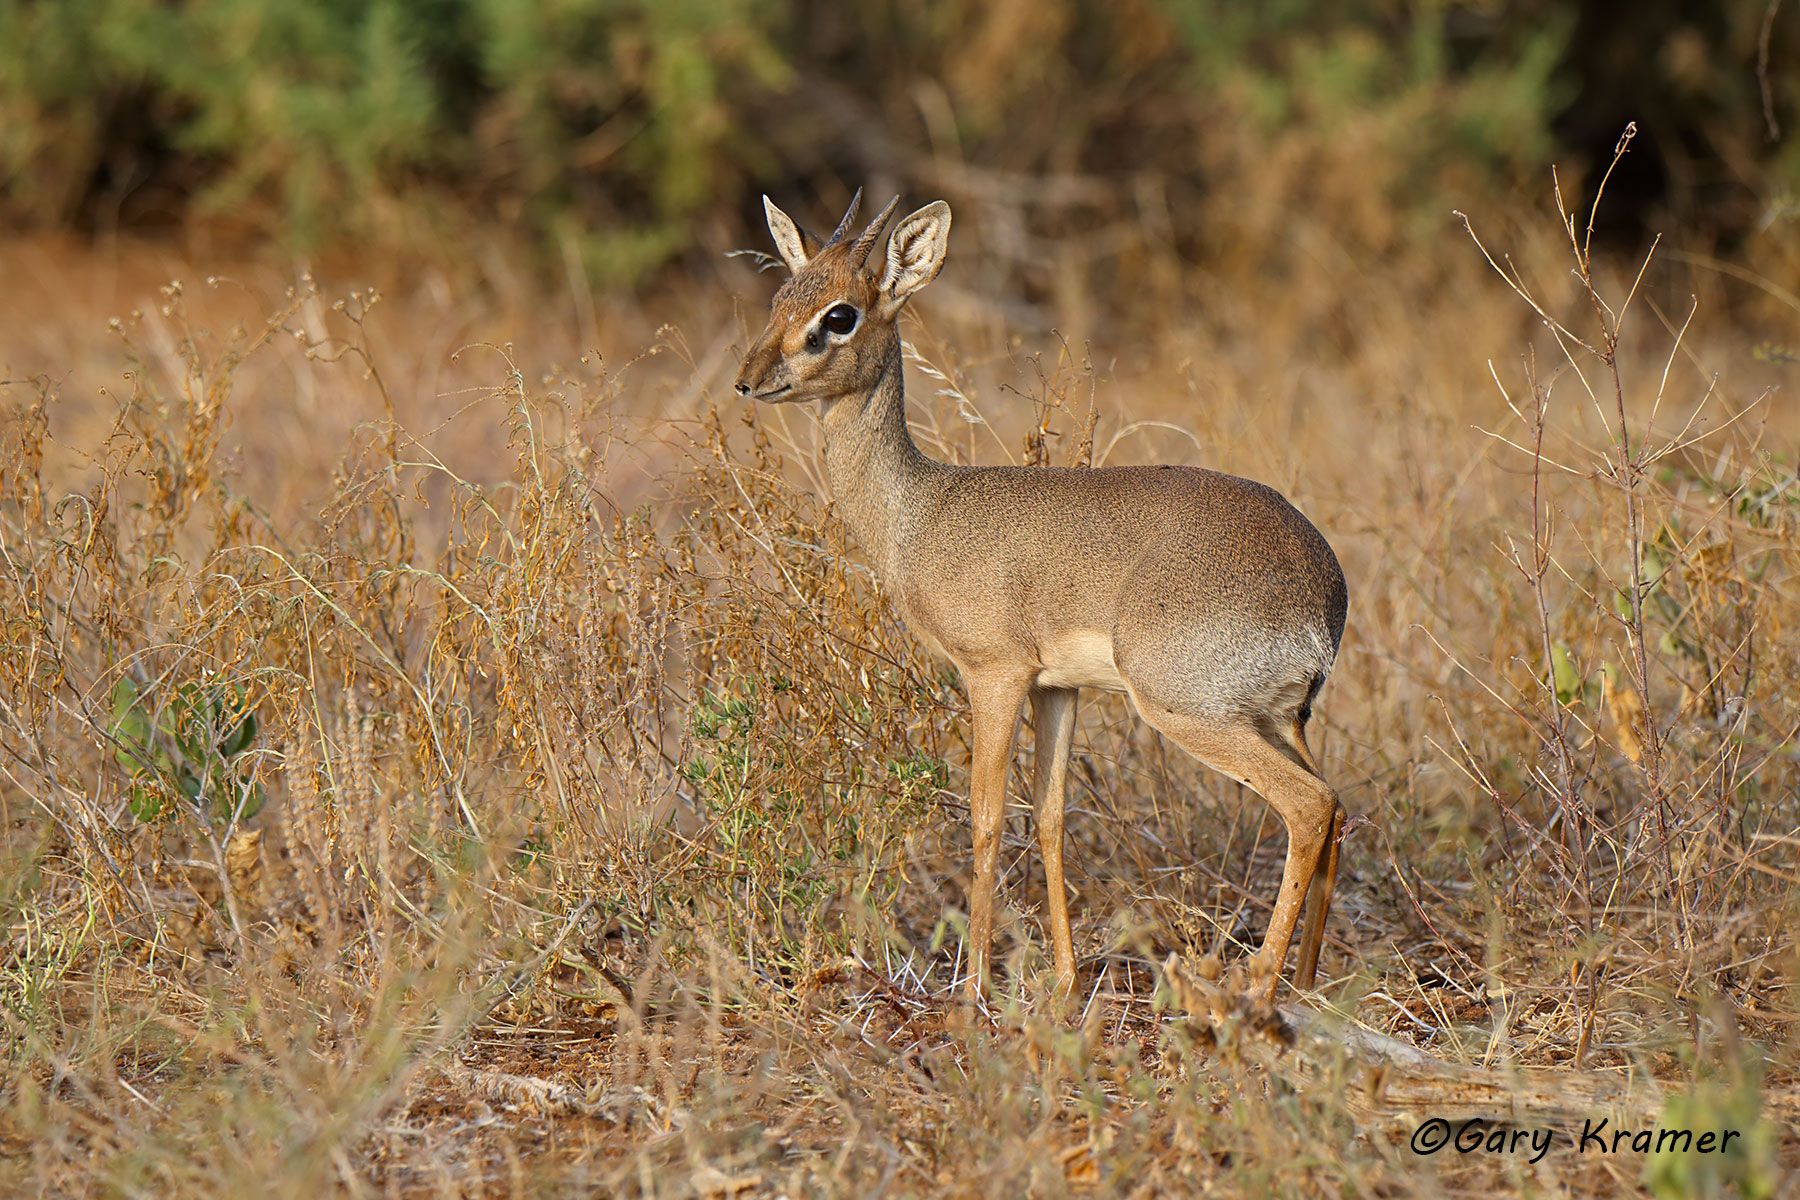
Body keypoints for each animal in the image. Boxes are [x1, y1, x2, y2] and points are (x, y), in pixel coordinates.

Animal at [734, 192, 1353, 1000]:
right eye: (782, 295)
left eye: (840, 315)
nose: (749, 379)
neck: (919, 513)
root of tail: (1324, 589)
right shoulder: (1058, 688)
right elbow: (1052, 816)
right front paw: (1061, 981)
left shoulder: (993, 674)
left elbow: (987, 819)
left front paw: (972, 992)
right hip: (1275, 718)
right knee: (1337, 809)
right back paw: (1307, 984)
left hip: (1189, 711)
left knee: (1311, 808)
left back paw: (1256, 985)